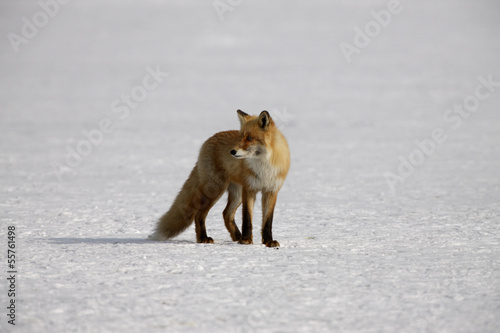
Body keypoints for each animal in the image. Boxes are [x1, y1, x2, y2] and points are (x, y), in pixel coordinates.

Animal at [148, 111, 290, 246]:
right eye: (240, 138)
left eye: (250, 138)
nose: (232, 152)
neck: (264, 167)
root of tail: (209, 139)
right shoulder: (249, 189)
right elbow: (247, 218)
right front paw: (246, 240)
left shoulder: (271, 191)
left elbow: (267, 221)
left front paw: (268, 242)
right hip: (216, 190)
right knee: (199, 214)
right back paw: (203, 238)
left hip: (237, 194)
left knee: (226, 213)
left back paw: (236, 237)